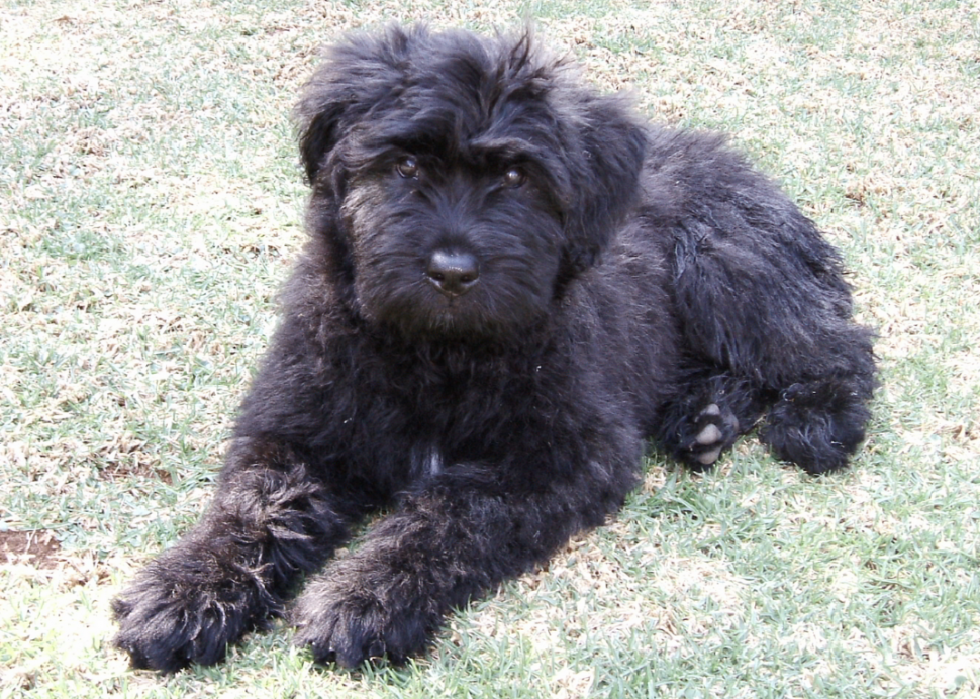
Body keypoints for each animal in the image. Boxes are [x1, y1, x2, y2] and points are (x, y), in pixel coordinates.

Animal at [112, 24, 877, 672]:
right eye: (406, 163)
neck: (436, 354)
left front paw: (363, 599)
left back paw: (817, 422)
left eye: (515, 177)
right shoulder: (292, 426)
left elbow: (447, 516)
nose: (451, 270)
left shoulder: (564, 456)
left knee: (835, 345)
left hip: (721, 267)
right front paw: (184, 592)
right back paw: (705, 419)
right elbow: (251, 508)